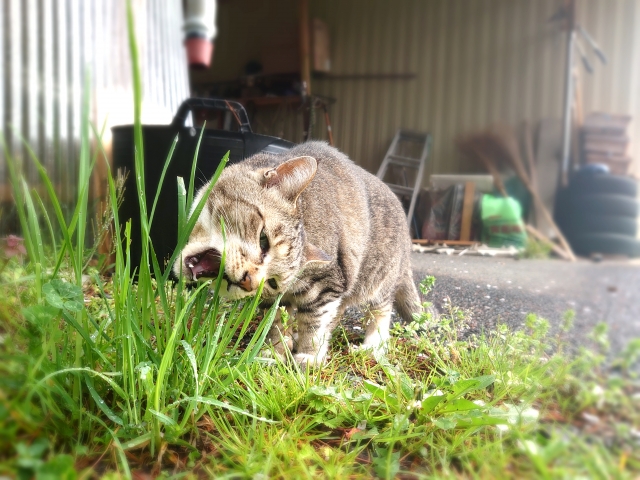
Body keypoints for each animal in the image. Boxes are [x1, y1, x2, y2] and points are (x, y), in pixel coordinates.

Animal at [175, 141, 422, 366]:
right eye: (263, 240)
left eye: (271, 281)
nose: (249, 281)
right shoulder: (277, 299)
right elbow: (275, 323)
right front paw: (273, 352)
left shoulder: (328, 286)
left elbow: (314, 324)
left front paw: (308, 355)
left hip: (377, 277)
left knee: (381, 309)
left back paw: (372, 345)